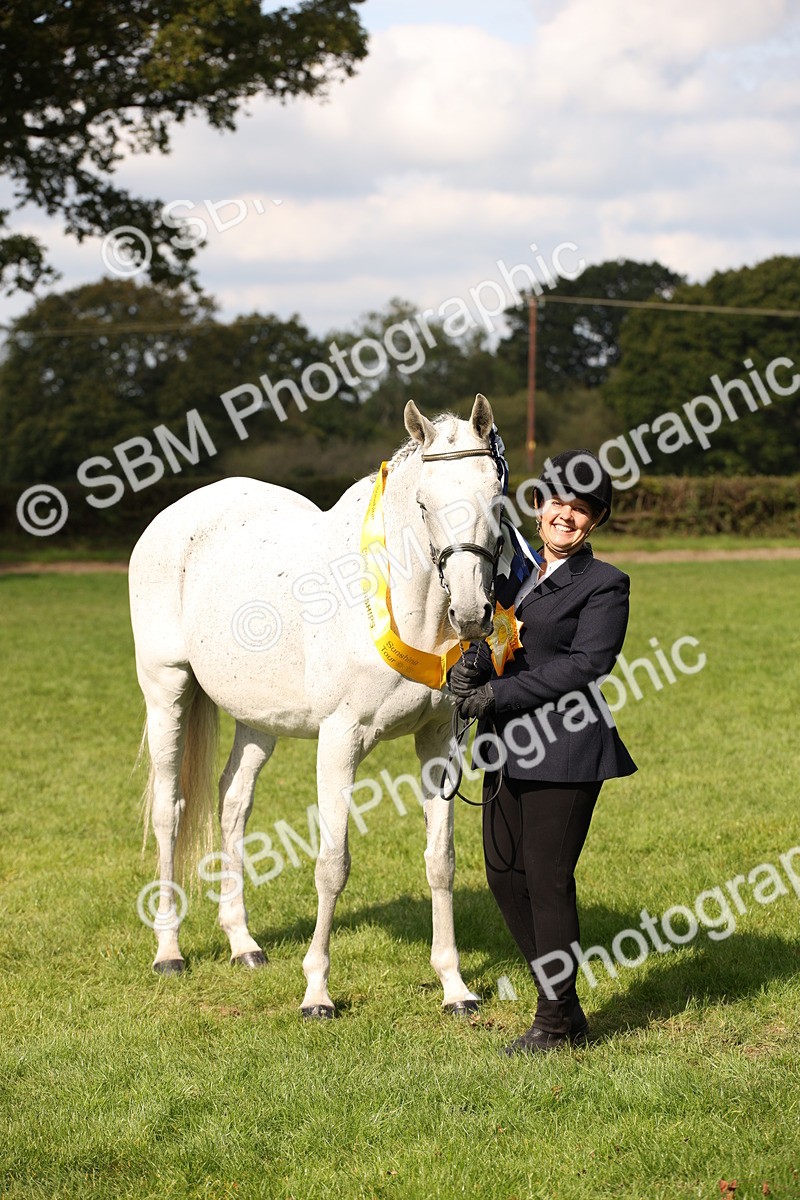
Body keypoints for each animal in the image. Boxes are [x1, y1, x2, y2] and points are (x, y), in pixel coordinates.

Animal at [129, 394, 504, 1017]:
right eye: (423, 504)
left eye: (495, 495)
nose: (472, 613)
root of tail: (174, 517)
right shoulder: (340, 742)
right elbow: (332, 864)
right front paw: (317, 993)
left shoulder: (436, 742)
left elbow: (441, 861)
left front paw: (455, 987)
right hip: (166, 691)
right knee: (170, 811)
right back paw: (168, 951)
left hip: (258, 721)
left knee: (233, 804)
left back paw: (243, 944)